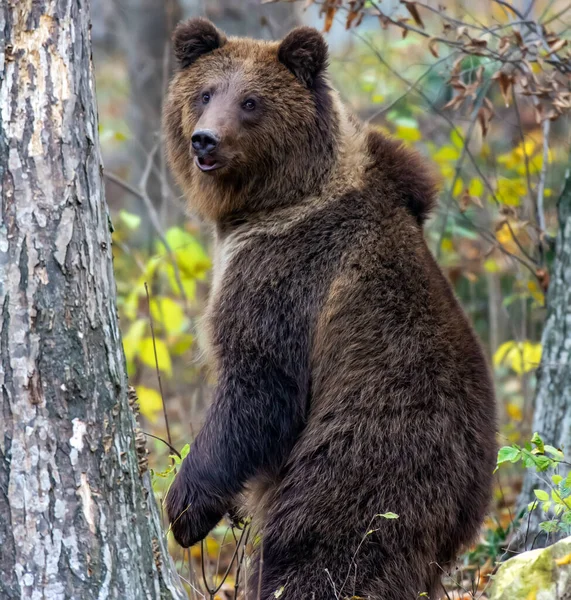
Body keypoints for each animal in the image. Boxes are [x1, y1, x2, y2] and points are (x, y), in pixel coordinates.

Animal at [163, 18, 498, 600]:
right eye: (204, 93)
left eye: (250, 101)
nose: (205, 139)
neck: (273, 202)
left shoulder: (287, 275)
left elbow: (259, 387)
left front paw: (185, 508)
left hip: (368, 452)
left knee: (323, 548)